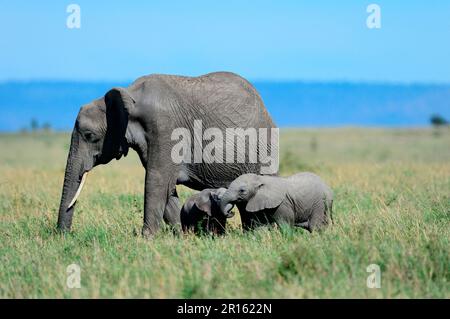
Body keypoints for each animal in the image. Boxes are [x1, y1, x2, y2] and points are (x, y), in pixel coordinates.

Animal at [55, 72, 276, 238]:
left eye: (89, 135)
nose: (64, 236)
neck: (130, 96)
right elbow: (167, 187)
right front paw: (183, 236)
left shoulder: (165, 128)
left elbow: (157, 180)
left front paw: (146, 239)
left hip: (265, 145)